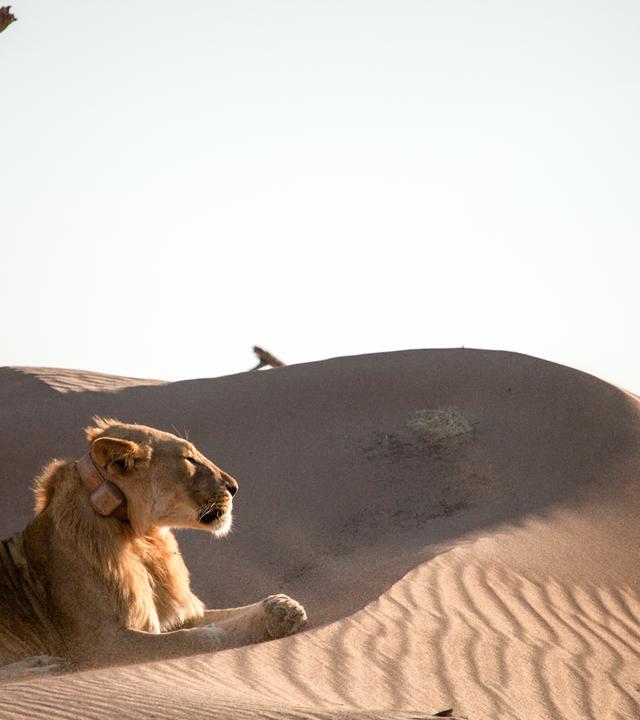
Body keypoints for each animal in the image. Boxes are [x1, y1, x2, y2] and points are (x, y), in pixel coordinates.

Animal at [0, 418, 307, 678]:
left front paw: (281, 609)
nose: (234, 487)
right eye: (189, 459)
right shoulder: (100, 645)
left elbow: (232, 614)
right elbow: (189, 639)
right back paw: (44, 665)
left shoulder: (178, 613)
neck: (142, 538)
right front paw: (216, 635)